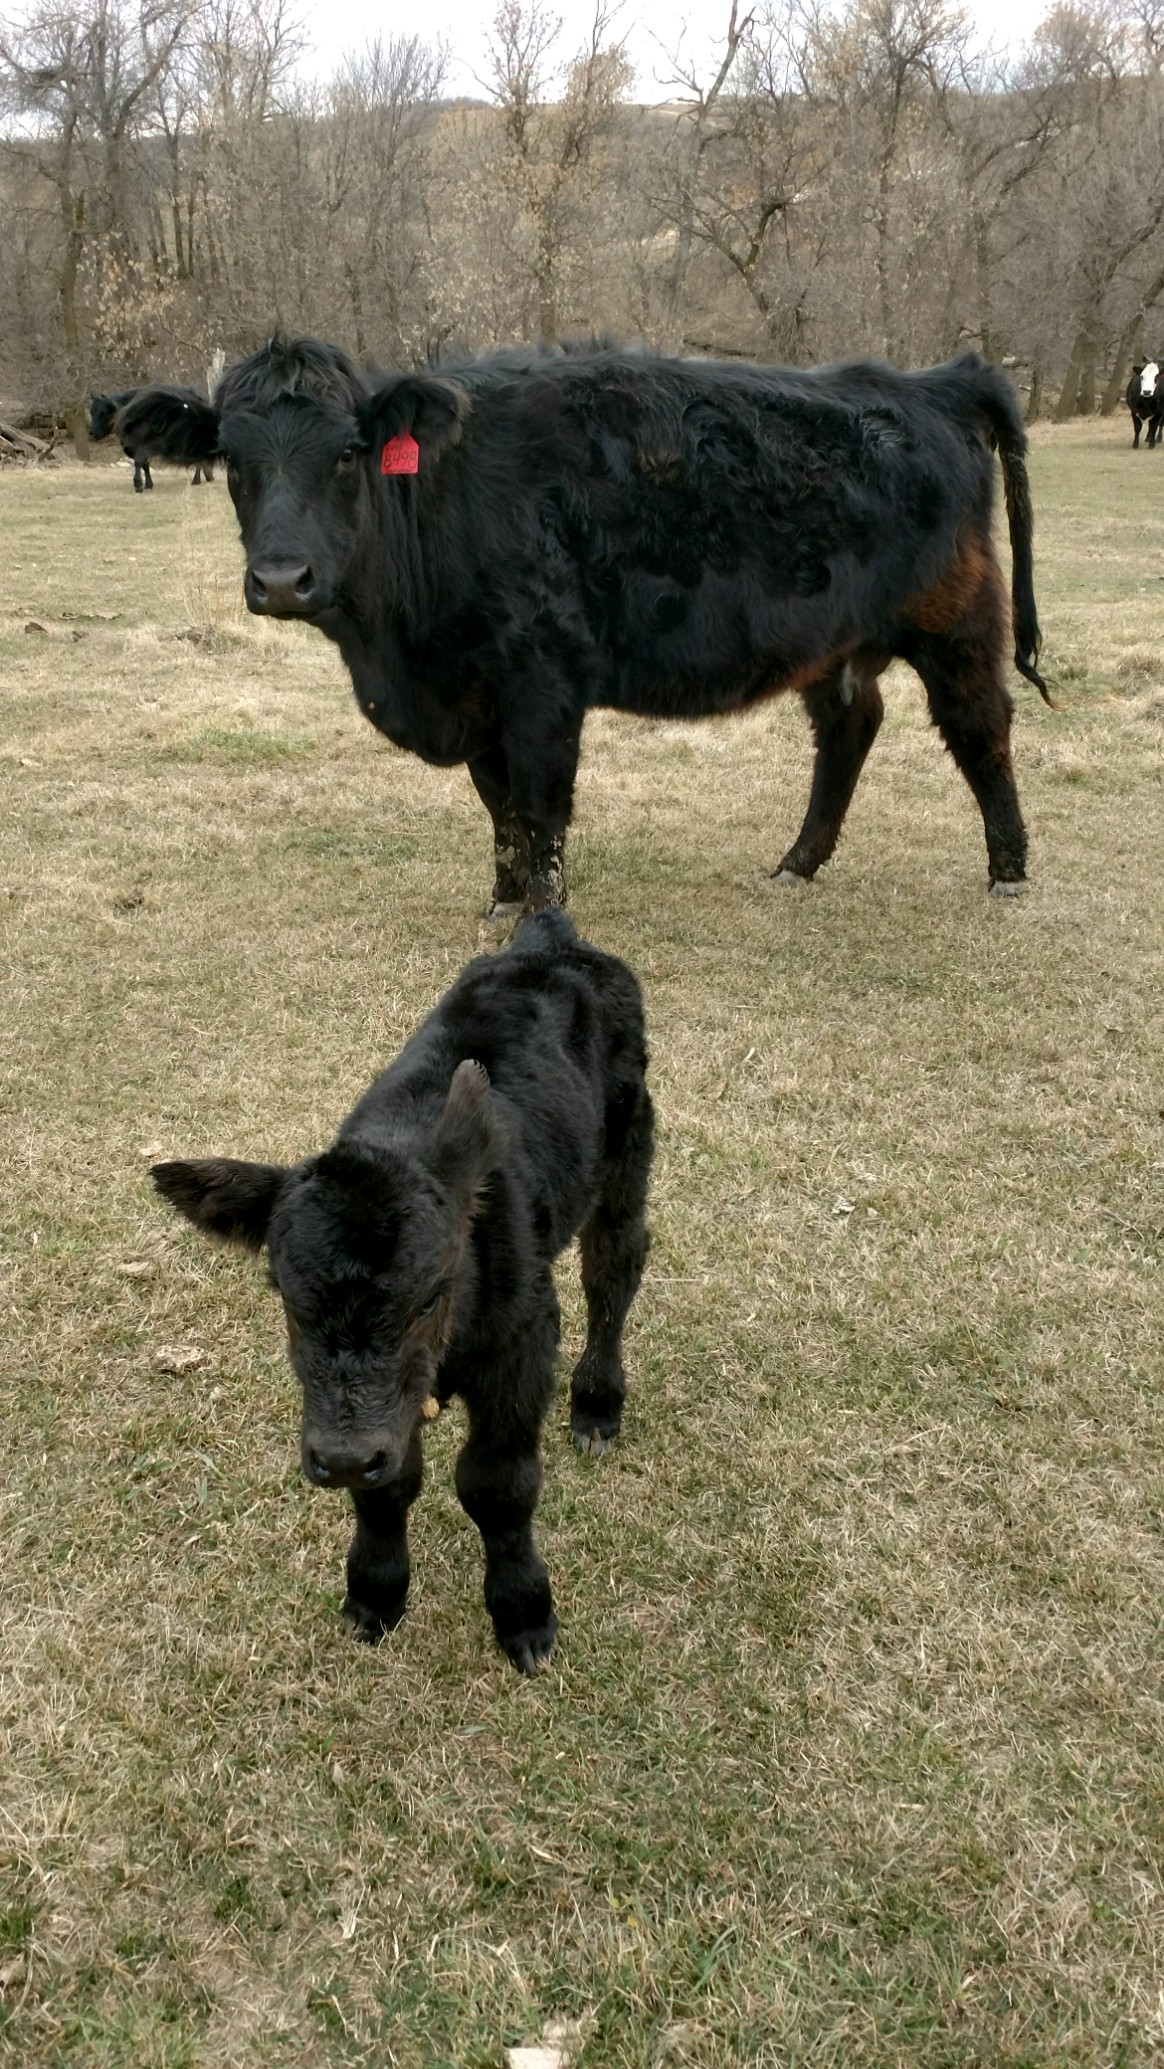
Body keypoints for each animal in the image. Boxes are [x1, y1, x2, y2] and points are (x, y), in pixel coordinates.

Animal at [88, 386, 216, 490]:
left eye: (103, 413)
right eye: (91, 412)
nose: (92, 433)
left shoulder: (151, 444)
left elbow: (139, 461)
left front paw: (138, 484)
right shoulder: (132, 447)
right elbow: (145, 465)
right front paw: (148, 484)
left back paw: (196, 480)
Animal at [117, 336, 1050, 909]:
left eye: (349, 452)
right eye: (229, 459)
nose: (282, 579)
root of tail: (931, 381)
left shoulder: (542, 679)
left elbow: (541, 804)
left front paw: (543, 908)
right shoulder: (477, 691)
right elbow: (497, 805)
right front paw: (500, 898)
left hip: (956, 619)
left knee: (980, 726)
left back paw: (1008, 870)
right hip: (834, 639)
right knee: (851, 726)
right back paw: (797, 863)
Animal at [150, 910, 654, 1675]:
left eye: (428, 1297)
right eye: (288, 1300)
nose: (342, 1456)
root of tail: (553, 936)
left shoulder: (523, 1340)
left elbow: (497, 1484)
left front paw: (524, 1613)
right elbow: (388, 1486)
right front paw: (375, 1593)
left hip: (628, 1141)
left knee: (614, 1267)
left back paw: (597, 1405)